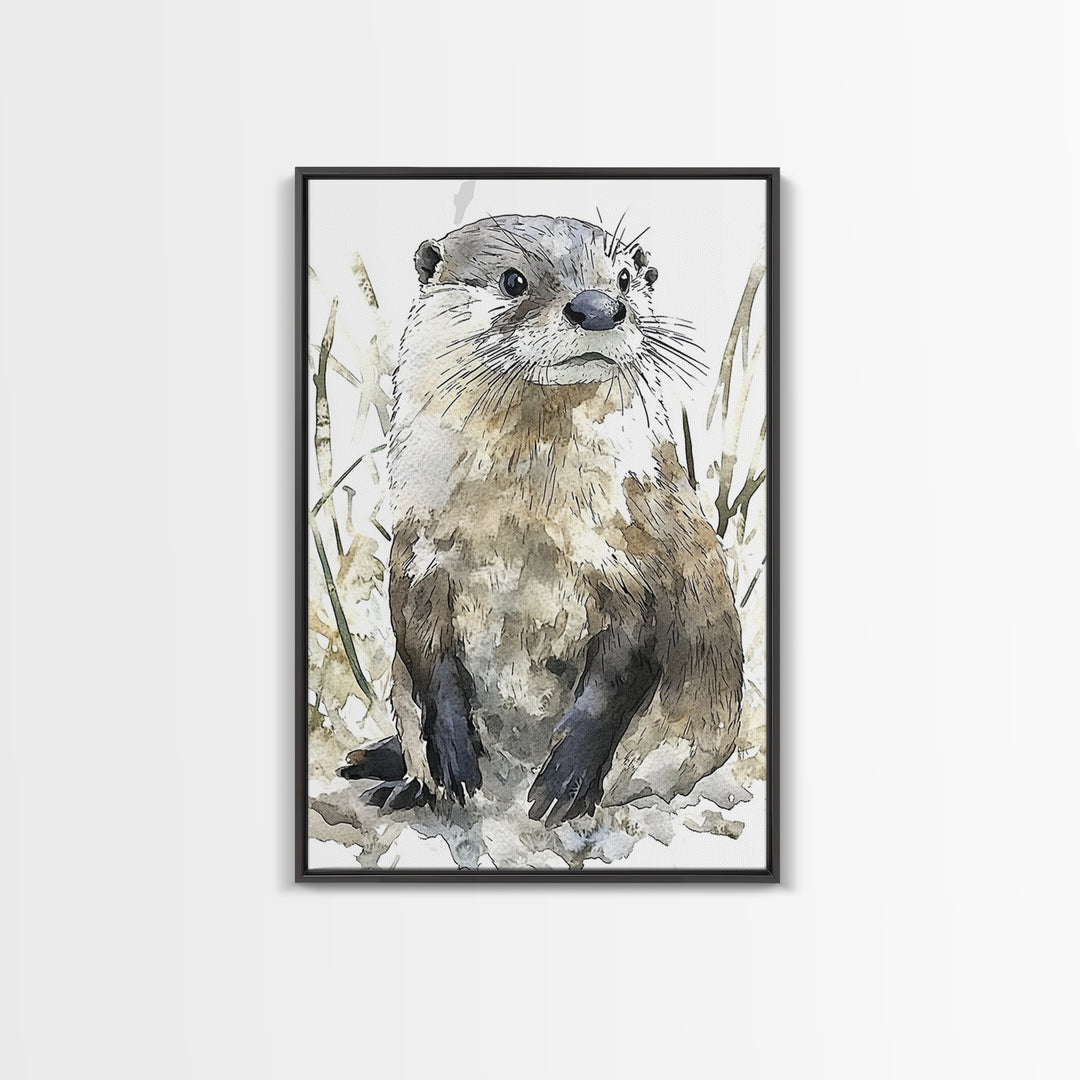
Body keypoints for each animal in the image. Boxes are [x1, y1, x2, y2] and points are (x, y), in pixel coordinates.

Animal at [341, 215, 744, 829]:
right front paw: (453, 759)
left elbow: (620, 671)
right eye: (513, 280)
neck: (523, 529)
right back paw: (403, 785)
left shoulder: (642, 558)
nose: (599, 307)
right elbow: (423, 651)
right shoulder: (417, 555)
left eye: (625, 277)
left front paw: (563, 782)